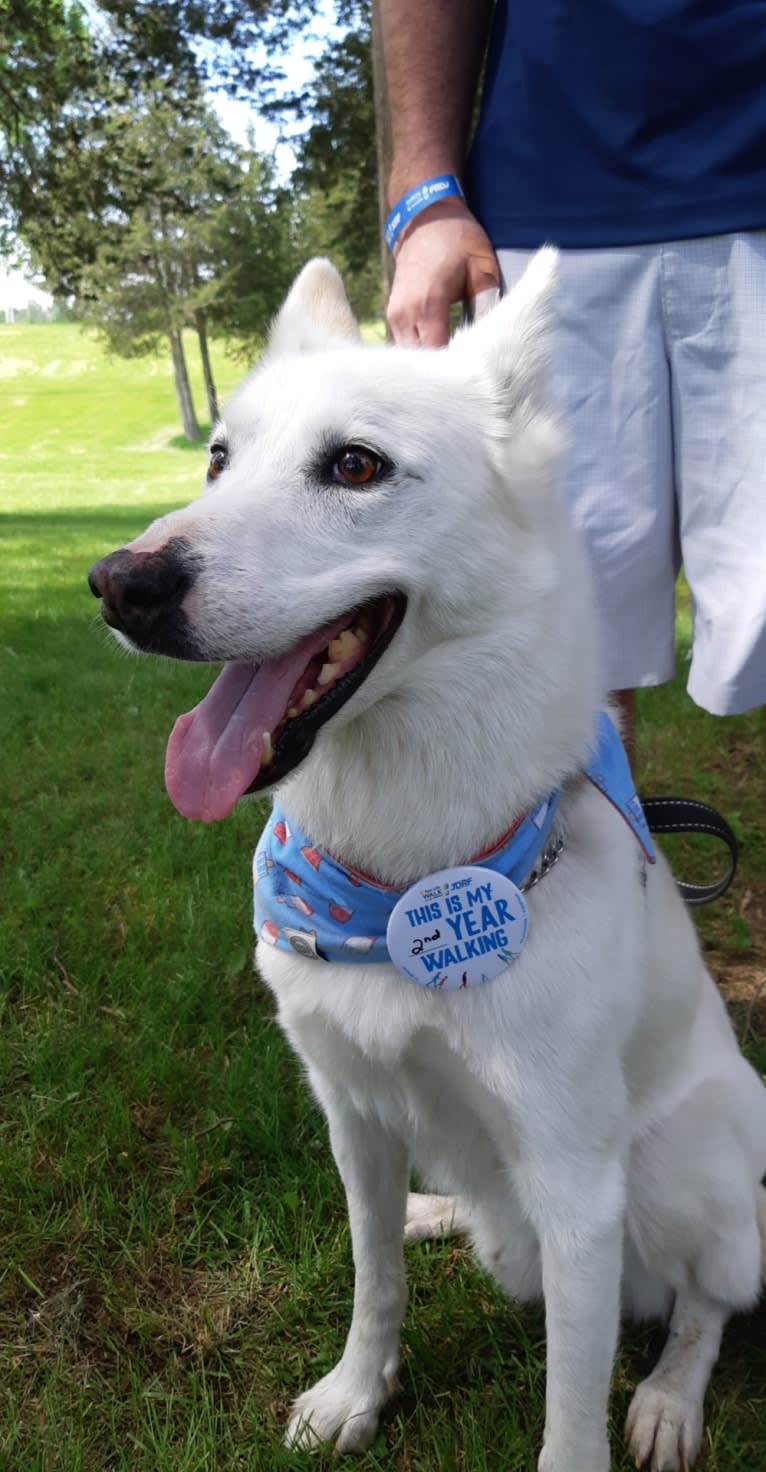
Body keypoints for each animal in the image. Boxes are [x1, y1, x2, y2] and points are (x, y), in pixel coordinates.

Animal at [89, 259, 766, 1472]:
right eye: (218, 458)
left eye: (355, 466)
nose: (119, 584)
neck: (400, 885)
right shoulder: (350, 1113)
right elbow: (376, 1281)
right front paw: (357, 1392)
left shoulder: (577, 1187)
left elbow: (570, 1408)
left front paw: (603, 1420)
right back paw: (439, 1212)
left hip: (687, 1164)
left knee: (704, 1304)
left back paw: (668, 1397)